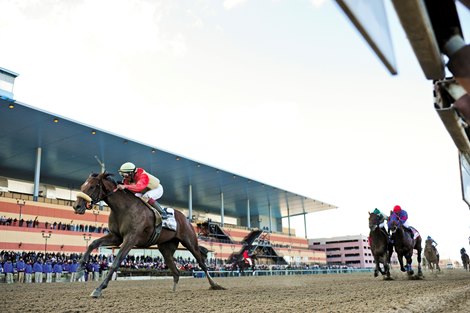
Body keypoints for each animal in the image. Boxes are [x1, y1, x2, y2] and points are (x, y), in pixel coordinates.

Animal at [74, 172, 226, 296]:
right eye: (82, 186)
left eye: (92, 187)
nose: (77, 206)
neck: (123, 208)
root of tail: (185, 218)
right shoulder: (116, 237)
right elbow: (93, 244)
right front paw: (79, 269)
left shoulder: (131, 238)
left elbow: (116, 262)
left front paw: (98, 288)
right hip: (165, 248)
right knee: (175, 271)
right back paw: (173, 290)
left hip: (189, 241)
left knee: (202, 263)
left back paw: (215, 285)